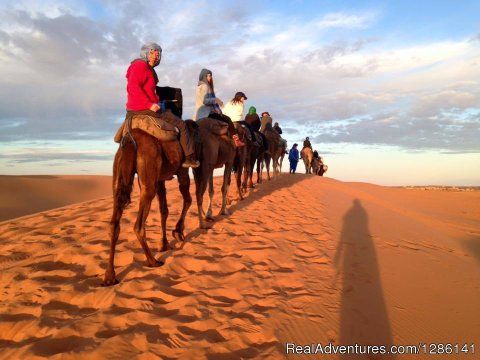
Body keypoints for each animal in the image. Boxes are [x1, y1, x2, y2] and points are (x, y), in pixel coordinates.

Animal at [103, 119, 197, 286]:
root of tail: (130, 141)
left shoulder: (160, 179)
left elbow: (164, 210)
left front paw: (164, 244)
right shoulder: (182, 171)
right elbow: (187, 200)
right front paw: (178, 232)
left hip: (118, 176)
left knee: (114, 224)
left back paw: (109, 276)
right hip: (148, 179)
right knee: (138, 225)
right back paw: (153, 261)